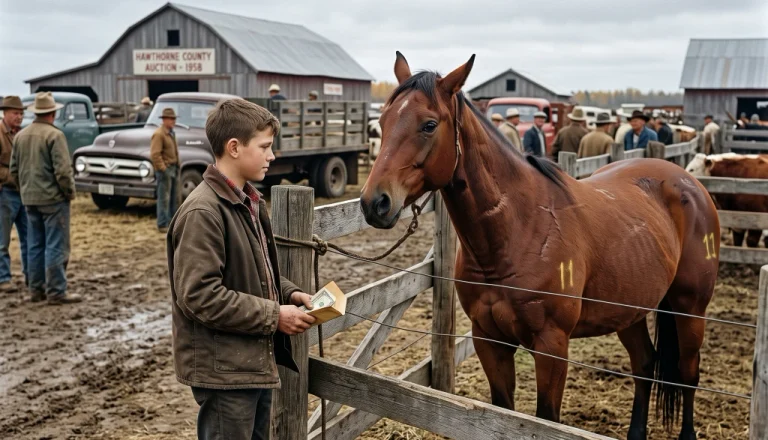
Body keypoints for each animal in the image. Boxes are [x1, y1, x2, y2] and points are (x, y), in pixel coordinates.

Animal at [359, 52, 719, 440]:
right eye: (382, 121)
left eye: (428, 125)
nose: (374, 202)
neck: (517, 230)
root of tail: (688, 183)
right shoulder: (490, 341)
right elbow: (503, 410)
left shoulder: (551, 347)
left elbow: (546, 419)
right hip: (630, 309)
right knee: (644, 365)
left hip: (690, 308)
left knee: (688, 375)